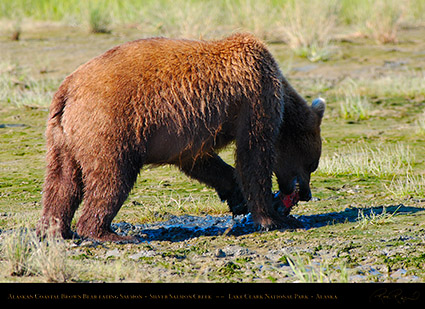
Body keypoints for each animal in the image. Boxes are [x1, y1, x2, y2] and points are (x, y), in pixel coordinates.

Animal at [37, 33, 324, 241]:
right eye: (313, 164)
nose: (306, 194)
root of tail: (67, 89)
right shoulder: (254, 97)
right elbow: (254, 155)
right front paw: (275, 218)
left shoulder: (185, 131)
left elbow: (200, 161)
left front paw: (238, 198)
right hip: (109, 124)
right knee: (111, 177)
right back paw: (107, 233)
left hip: (62, 138)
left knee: (61, 183)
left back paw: (53, 229)